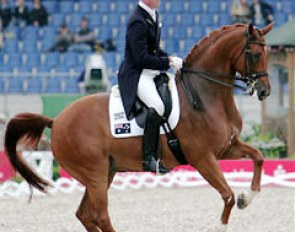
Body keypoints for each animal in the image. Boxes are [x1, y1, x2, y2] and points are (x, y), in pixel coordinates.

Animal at [4, 23, 272, 232]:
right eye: (255, 54)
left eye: (268, 53)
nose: (264, 92)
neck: (206, 95)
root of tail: (56, 120)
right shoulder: (202, 158)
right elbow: (227, 195)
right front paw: (226, 218)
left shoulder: (226, 148)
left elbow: (258, 157)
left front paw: (248, 197)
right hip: (94, 173)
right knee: (99, 214)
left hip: (105, 172)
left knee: (85, 214)